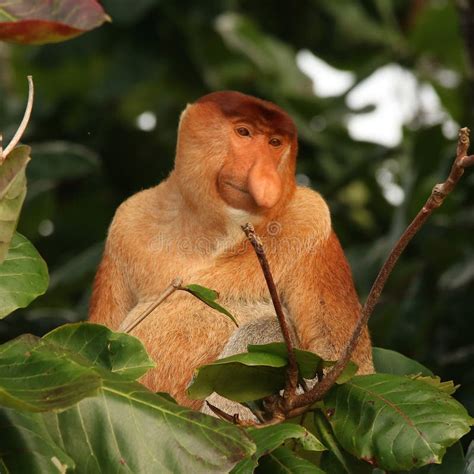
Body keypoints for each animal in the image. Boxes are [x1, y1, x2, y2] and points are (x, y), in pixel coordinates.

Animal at [87, 90, 372, 410]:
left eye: (275, 143)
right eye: (244, 132)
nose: (265, 176)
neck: (216, 230)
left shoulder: (312, 222)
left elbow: (345, 365)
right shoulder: (127, 221)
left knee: (267, 330)